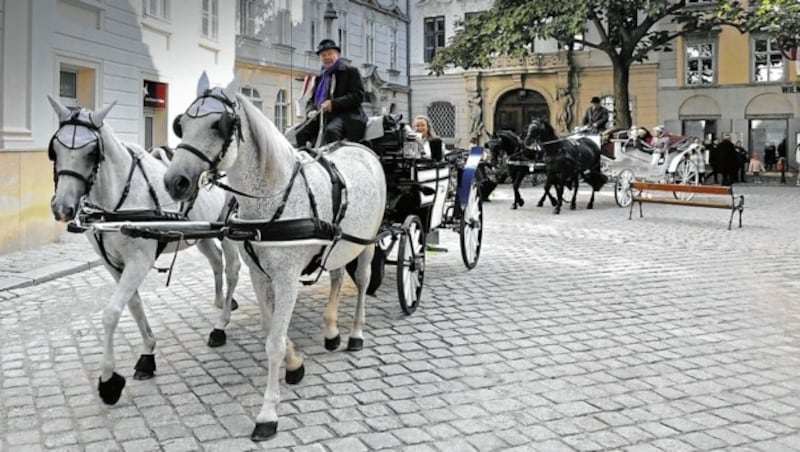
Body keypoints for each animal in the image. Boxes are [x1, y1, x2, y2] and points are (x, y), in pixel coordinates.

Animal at [46, 96, 241, 406]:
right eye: (55, 150)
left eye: (92, 152)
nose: (62, 208)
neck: (117, 201)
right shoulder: (113, 265)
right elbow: (134, 306)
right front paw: (148, 354)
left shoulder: (139, 261)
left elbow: (112, 313)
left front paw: (108, 381)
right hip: (201, 234)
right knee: (216, 261)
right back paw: (222, 301)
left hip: (230, 227)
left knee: (233, 268)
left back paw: (221, 326)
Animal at [164, 74, 386, 442]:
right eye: (181, 124)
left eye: (218, 125)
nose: (174, 181)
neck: (273, 197)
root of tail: (362, 148)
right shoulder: (258, 274)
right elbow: (271, 328)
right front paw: (295, 364)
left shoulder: (286, 279)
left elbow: (273, 344)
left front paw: (268, 413)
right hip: (338, 244)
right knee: (337, 276)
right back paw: (331, 331)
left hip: (367, 242)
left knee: (364, 280)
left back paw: (355, 333)